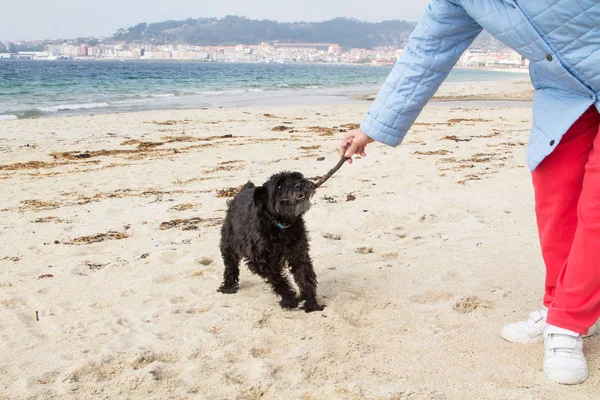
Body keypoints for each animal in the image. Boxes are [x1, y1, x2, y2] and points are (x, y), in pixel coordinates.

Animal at [218, 170, 326, 312]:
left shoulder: (299, 255)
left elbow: (305, 278)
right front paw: (289, 300)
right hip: (229, 244)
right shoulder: (260, 261)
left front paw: (311, 303)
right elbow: (278, 280)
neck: (281, 225)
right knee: (230, 265)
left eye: (297, 177)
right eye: (279, 186)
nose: (299, 185)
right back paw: (228, 286)